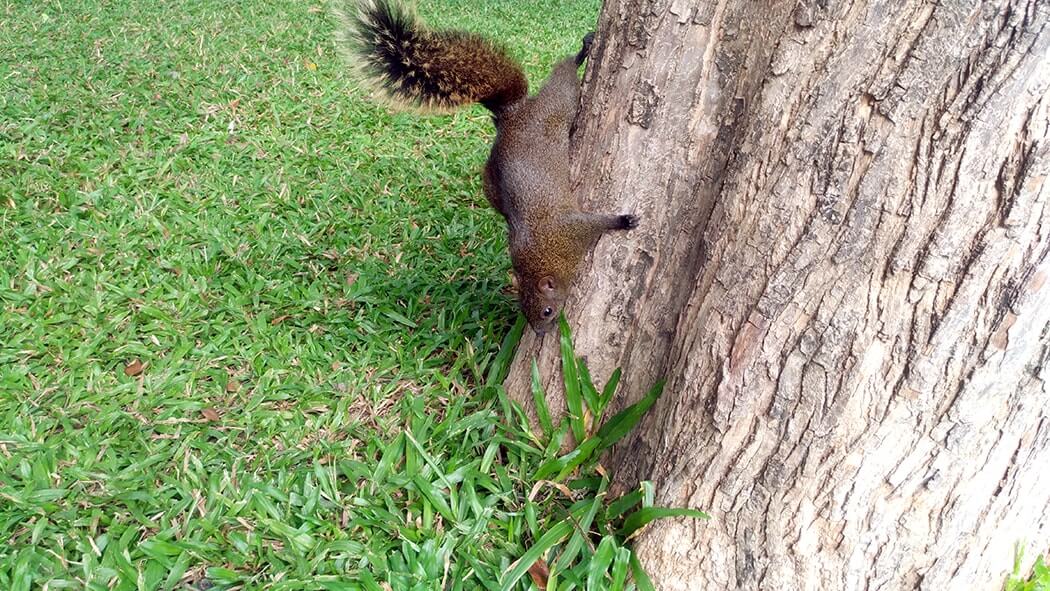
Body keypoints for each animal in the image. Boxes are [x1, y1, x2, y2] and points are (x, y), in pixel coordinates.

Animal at [333, 0, 638, 333]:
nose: (541, 332)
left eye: (546, 311)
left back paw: (582, 51)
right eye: (525, 311)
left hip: (555, 107)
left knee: (563, 78)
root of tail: (511, 114)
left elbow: (597, 222)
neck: (547, 257)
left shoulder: (572, 230)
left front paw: (623, 220)